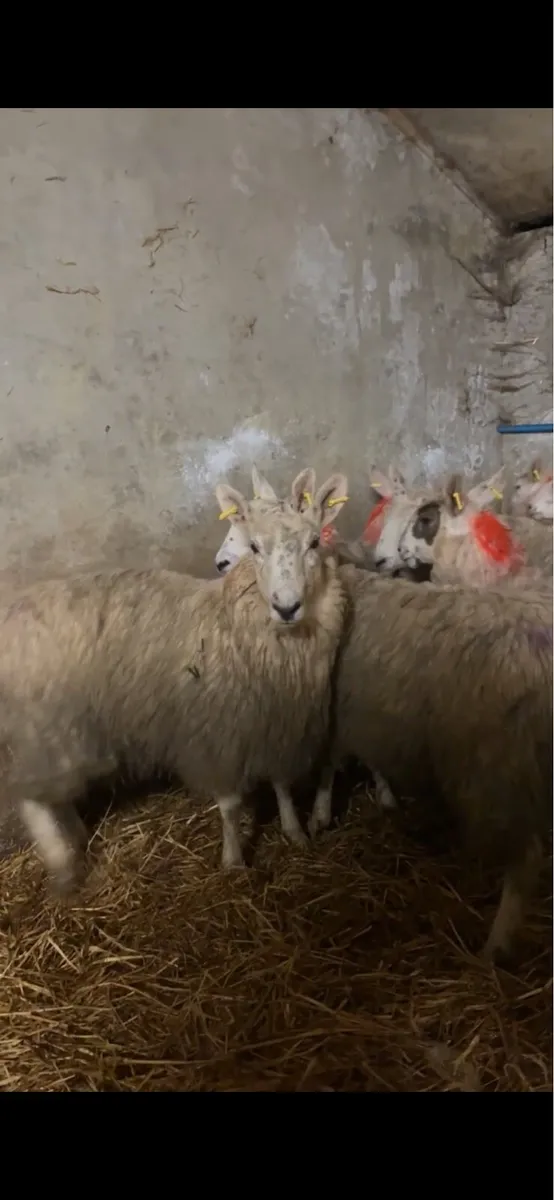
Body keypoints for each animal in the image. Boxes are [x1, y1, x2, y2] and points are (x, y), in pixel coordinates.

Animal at [0, 470, 350, 891]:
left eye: (314, 542)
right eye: (254, 546)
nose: (286, 606)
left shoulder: (277, 724)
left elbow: (282, 785)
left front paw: (294, 832)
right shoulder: (217, 737)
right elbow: (231, 807)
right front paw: (233, 862)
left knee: (55, 794)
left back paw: (75, 840)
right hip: (47, 727)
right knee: (33, 797)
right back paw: (62, 863)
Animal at [310, 566, 552, 962]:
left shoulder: (333, 717)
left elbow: (328, 766)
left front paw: (319, 814)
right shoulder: (368, 718)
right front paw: (384, 797)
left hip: (499, 770)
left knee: (525, 862)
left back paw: (494, 947)